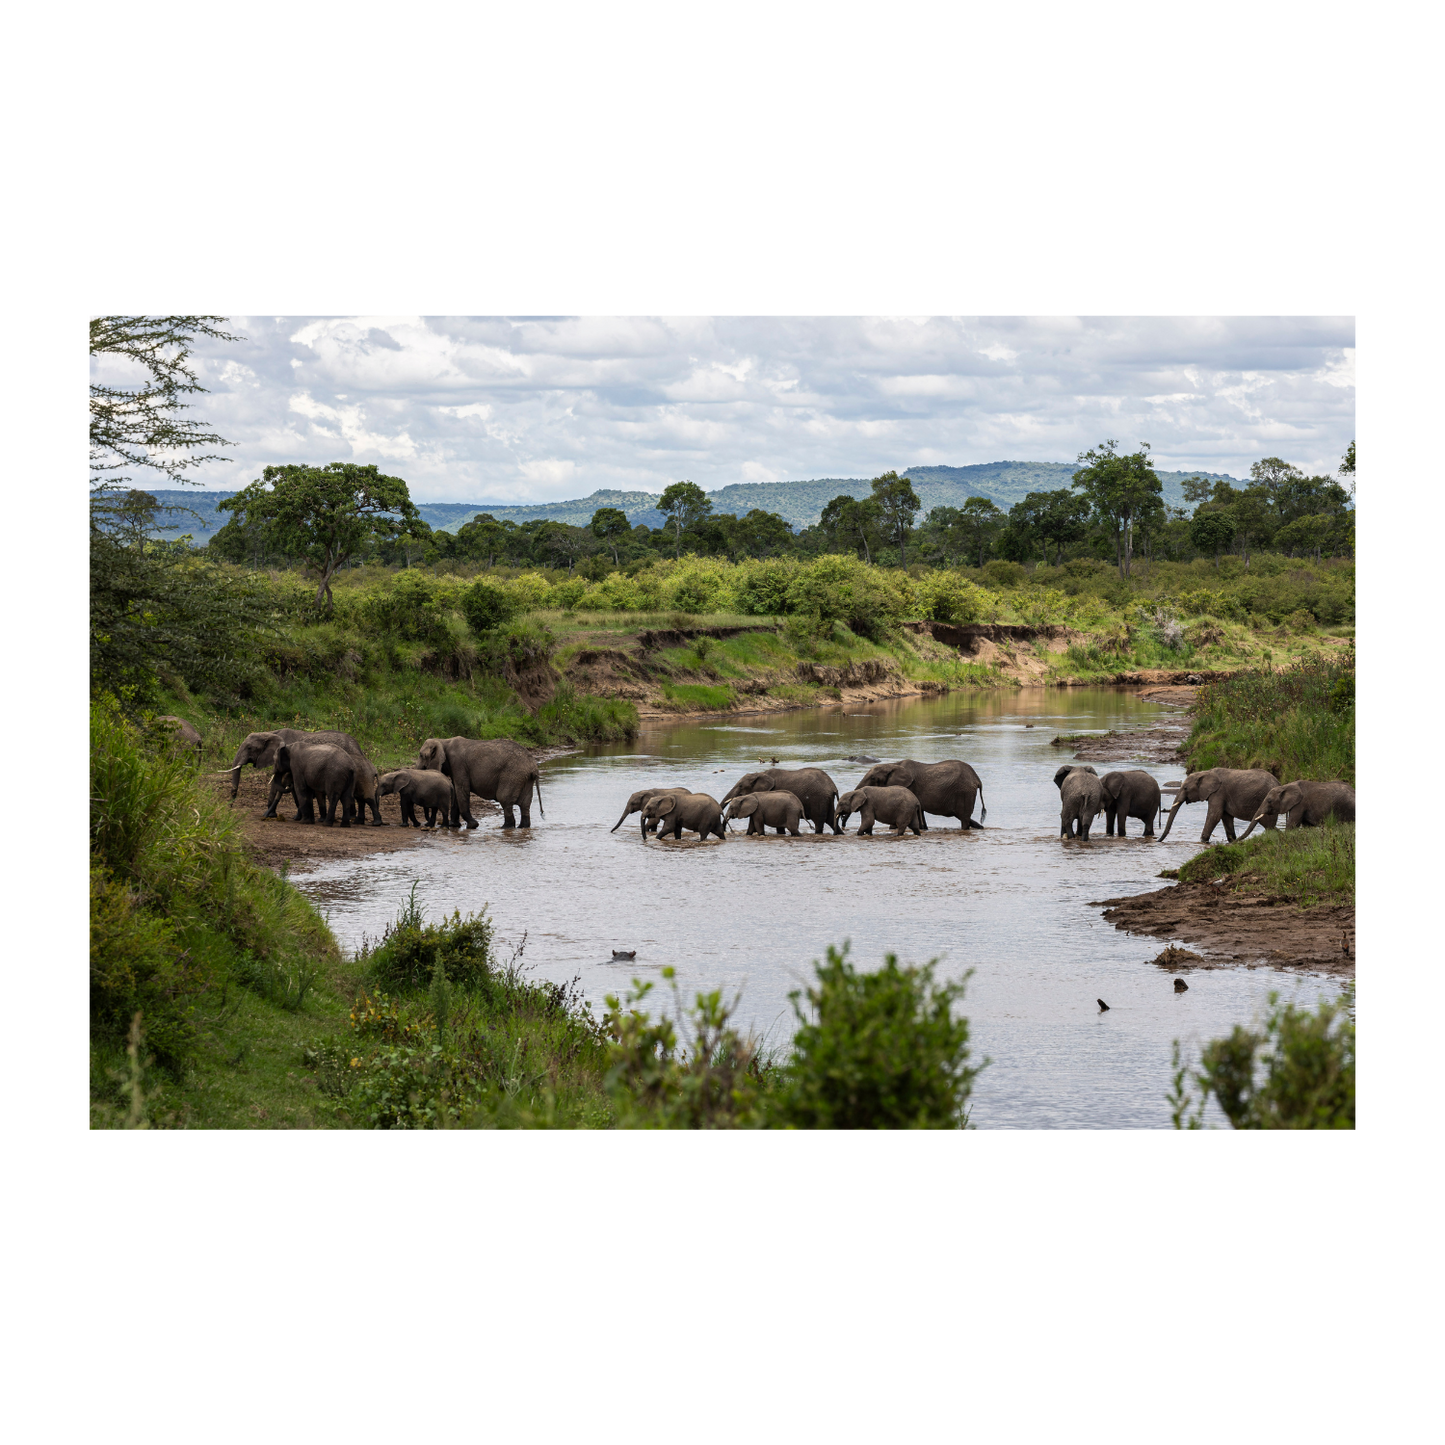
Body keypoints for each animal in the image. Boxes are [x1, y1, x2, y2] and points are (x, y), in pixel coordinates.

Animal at [855, 759, 986, 828]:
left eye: (873, 778)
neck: (893, 764)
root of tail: (977, 779)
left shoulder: (909, 788)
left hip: (964, 792)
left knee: (964, 819)